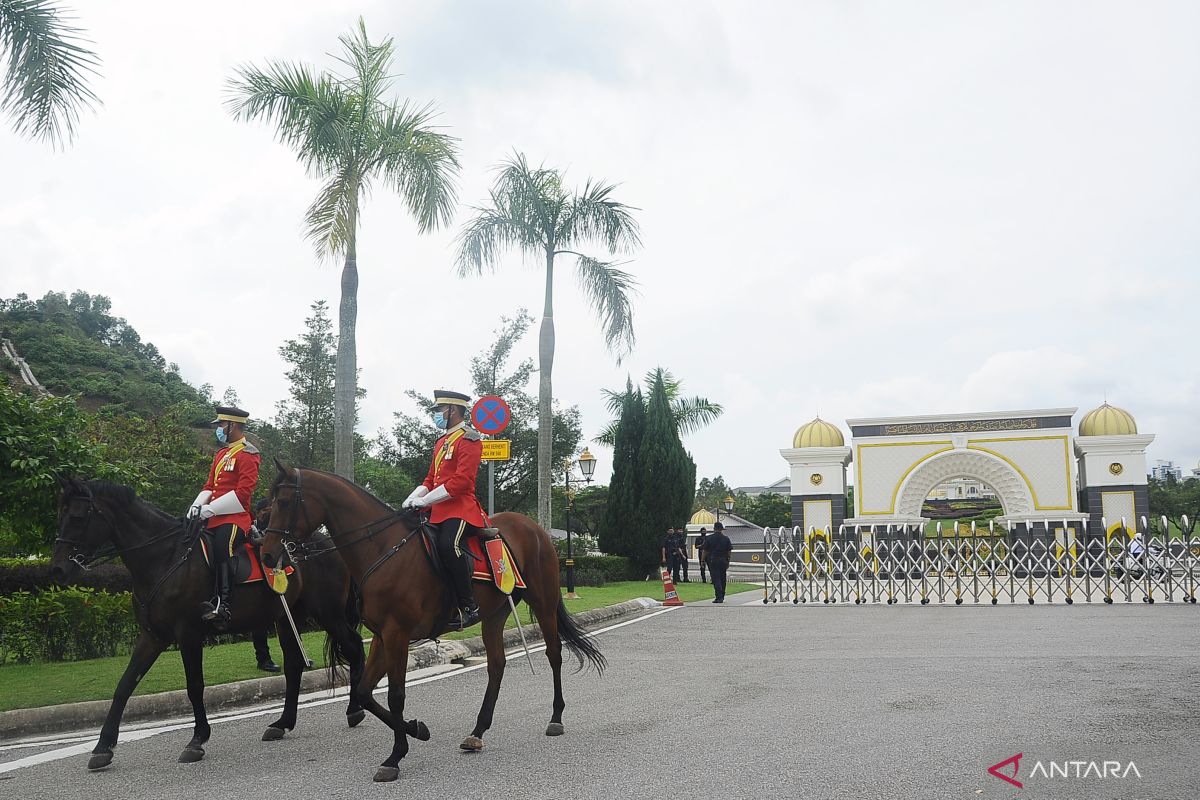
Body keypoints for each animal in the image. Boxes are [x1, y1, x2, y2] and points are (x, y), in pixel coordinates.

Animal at [49, 474, 364, 767]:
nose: (57, 569)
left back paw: (355, 709)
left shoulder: (188, 634)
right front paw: (103, 747)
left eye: (77, 517)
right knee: (295, 665)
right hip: (288, 619)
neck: (164, 558)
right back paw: (282, 724)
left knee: (354, 645)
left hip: (328, 612)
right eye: (59, 515)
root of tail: (329, 543)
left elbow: (194, 686)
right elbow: (124, 685)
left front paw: (197, 740)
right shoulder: (152, 636)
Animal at [259, 462, 604, 782]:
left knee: (554, 654)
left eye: (284, 502)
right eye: (269, 504)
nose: (267, 556)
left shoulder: (397, 634)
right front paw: (416, 729)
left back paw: (556, 718)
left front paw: (395, 756)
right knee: (496, 665)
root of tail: (535, 527)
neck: (382, 548)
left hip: (543, 603)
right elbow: (365, 693)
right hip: (494, 614)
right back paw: (477, 731)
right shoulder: (382, 636)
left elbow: (395, 695)